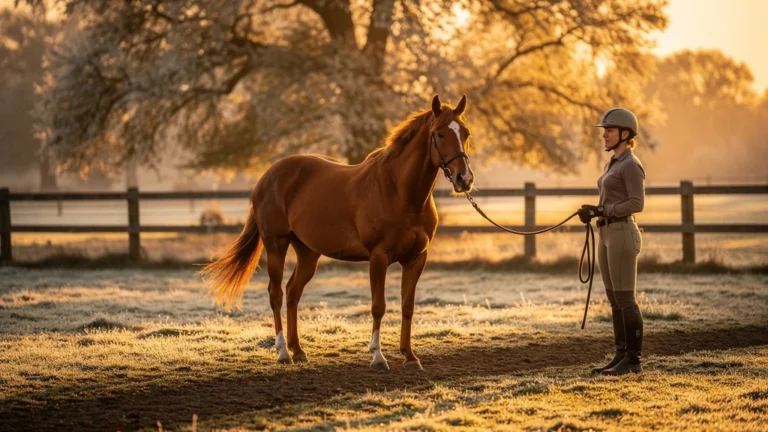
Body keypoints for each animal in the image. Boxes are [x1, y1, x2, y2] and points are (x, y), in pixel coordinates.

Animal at [201, 94, 475, 370]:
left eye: (465, 133)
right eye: (440, 134)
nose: (464, 179)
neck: (399, 192)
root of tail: (266, 178)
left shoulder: (417, 258)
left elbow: (407, 306)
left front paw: (409, 356)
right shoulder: (378, 257)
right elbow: (378, 306)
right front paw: (378, 356)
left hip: (308, 253)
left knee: (292, 292)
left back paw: (298, 350)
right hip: (276, 244)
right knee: (276, 293)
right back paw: (283, 352)